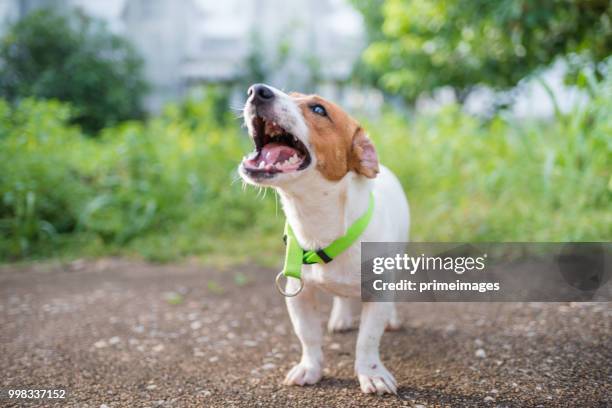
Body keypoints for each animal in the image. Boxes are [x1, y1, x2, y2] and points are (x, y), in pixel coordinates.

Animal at [237, 83, 408, 396]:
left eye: (318, 109)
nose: (257, 90)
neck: (320, 226)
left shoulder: (378, 293)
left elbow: (368, 339)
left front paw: (371, 373)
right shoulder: (298, 293)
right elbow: (308, 335)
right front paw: (310, 368)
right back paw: (340, 317)